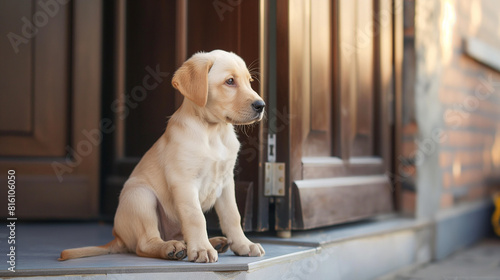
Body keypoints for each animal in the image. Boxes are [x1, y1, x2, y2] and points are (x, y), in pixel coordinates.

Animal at [59, 49, 266, 262]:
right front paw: (202, 249)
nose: (261, 105)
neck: (213, 131)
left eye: (249, 81)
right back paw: (173, 248)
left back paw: (213, 242)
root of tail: (118, 238)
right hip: (141, 196)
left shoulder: (225, 182)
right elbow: (196, 217)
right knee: (145, 244)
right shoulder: (184, 181)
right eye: (230, 81)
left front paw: (243, 244)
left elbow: (233, 216)